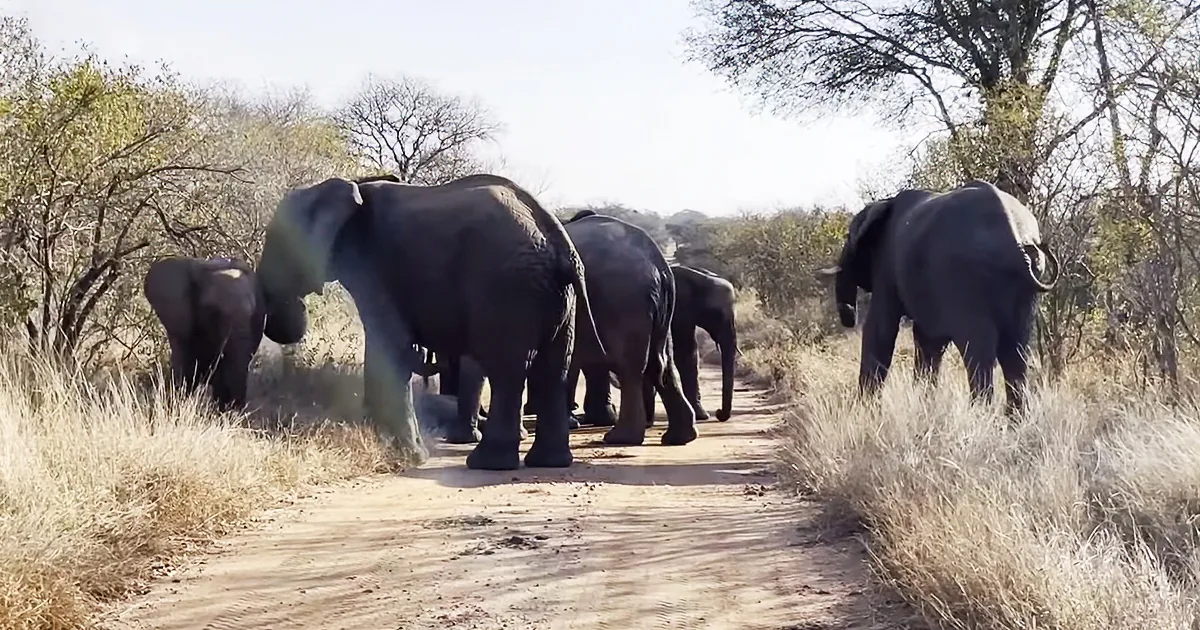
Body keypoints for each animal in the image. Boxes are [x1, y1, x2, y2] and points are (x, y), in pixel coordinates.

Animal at [255, 172, 606, 470]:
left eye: (274, 241)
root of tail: (558, 239)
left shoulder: (373, 265)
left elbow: (389, 346)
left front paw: (408, 459)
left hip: (505, 287)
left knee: (508, 369)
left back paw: (487, 464)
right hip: (558, 299)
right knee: (553, 369)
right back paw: (549, 462)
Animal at [670, 264, 738, 422]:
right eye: (717, 314)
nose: (718, 413)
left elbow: (691, 353)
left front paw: (701, 415)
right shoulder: (680, 307)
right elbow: (685, 351)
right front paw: (702, 416)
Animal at [819, 179, 1061, 416]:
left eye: (848, 238)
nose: (849, 317)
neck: (884, 204)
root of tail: (1017, 244)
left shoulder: (887, 265)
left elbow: (880, 328)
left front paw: (865, 410)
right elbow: (928, 340)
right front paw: (923, 404)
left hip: (967, 278)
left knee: (979, 351)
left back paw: (978, 416)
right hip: (1029, 278)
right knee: (1017, 352)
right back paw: (1015, 421)